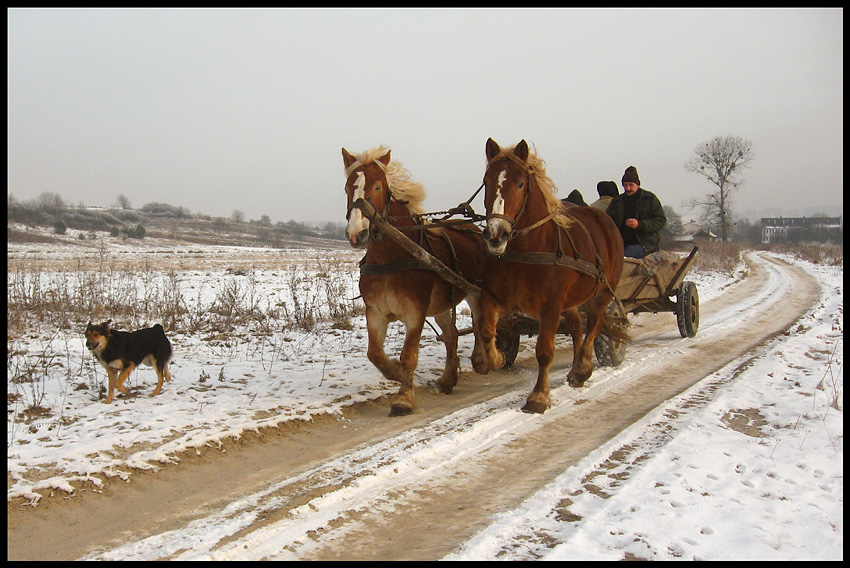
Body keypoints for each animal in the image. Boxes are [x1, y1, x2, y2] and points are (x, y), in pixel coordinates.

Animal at [340, 144, 484, 414]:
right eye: (347, 188)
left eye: (378, 187)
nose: (356, 234)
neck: (390, 259)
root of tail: (475, 228)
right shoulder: (375, 312)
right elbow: (375, 354)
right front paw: (396, 373)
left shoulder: (415, 312)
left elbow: (409, 355)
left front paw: (404, 398)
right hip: (441, 304)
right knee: (451, 335)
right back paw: (448, 379)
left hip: (476, 292)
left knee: (483, 324)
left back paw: (486, 358)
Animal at [470, 138, 624, 412]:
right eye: (487, 182)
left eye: (521, 183)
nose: (496, 235)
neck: (526, 252)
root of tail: (604, 219)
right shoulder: (496, 297)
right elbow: (487, 330)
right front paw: (494, 358)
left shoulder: (550, 305)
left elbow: (544, 351)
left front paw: (539, 396)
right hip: (571, 299)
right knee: (576, 325)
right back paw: (576, 368)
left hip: (603, 292)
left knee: (594, 324)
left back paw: (583, 368)